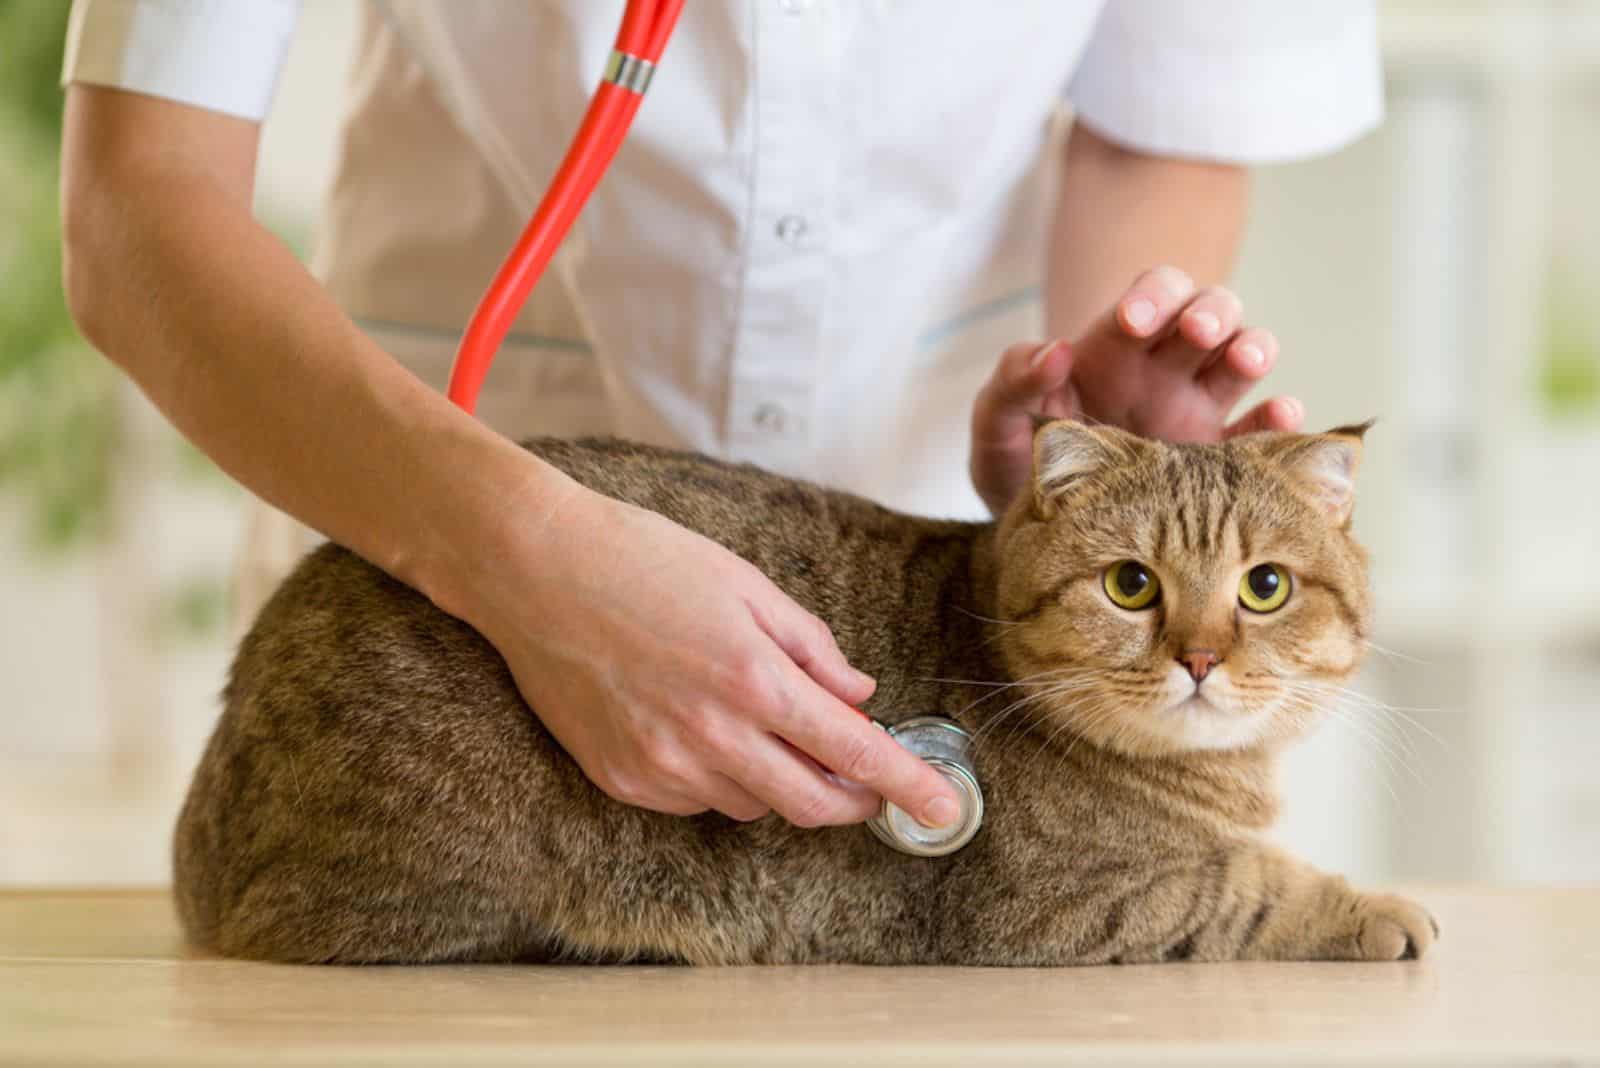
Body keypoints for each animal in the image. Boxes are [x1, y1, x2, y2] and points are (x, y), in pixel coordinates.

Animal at [172, 422, 1440, 965]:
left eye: (1264, 589)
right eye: (1133, 584)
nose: (1201, 655)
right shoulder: (1064, 905)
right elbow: (1253, 889)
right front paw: (1381, 908)